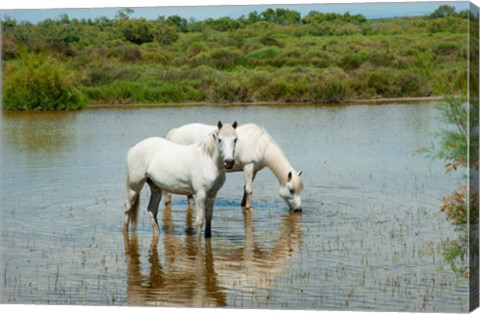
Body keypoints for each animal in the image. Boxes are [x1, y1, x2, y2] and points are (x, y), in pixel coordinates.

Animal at [163, 122, 302, 211]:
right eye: (291, 190)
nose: (298, 209)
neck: (260, 144)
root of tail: (175, 132)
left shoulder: (254, 170)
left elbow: (246, 188)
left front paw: (243, 204)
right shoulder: (248, 166)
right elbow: (249, 189)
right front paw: (248, 207)